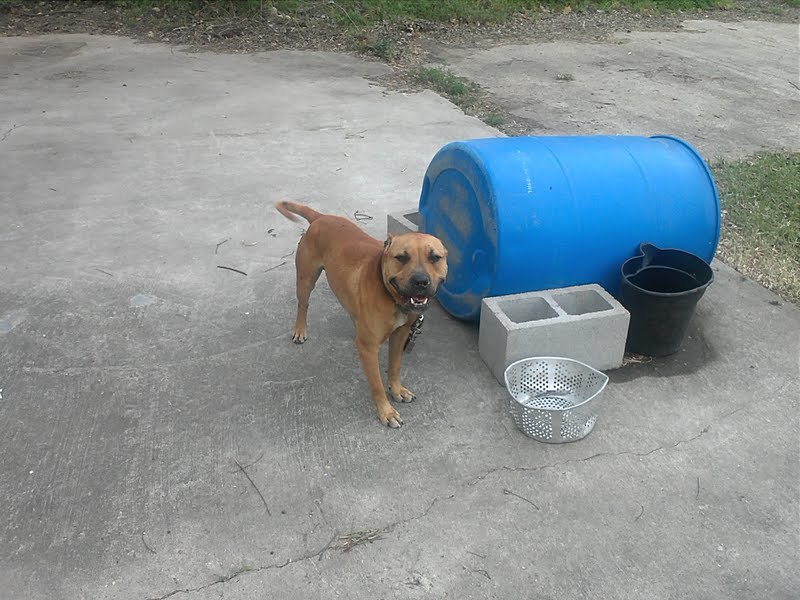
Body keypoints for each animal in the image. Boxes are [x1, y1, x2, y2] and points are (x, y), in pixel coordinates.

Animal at [276, 201, 448, 428]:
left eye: (435, 257)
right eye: (401, 257)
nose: (421, 281)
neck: (390, 296)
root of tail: (321, 217)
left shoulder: (400, 336)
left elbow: (395, 367)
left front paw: (397, 389)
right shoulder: (369, 349)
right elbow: (377, 385)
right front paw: (386, 411)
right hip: (306, 280)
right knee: (302, 305)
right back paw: (300, 329)